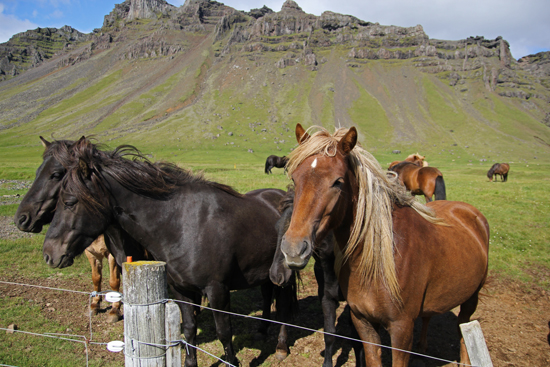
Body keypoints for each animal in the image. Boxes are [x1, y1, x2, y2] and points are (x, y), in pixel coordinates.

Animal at [26, 137, 298, 367]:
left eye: (69, 201)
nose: (49, 253)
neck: (181, 224)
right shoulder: (181, 290)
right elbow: (188, 329)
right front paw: (190, 363)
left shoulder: (217, 290)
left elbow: (224, 331)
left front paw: (233, 362)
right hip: (264, 274)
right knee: (268, 295)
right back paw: (262, 330)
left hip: (283, 275)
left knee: (284, 308)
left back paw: (281, 347)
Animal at [280, 124, 492, 367]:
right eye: (295, 179)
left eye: (338, 182)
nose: (293, 249)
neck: (378, 260)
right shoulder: (363, 321)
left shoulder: (401, 329)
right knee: (430, 316)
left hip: (471, 298)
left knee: (464, 328)